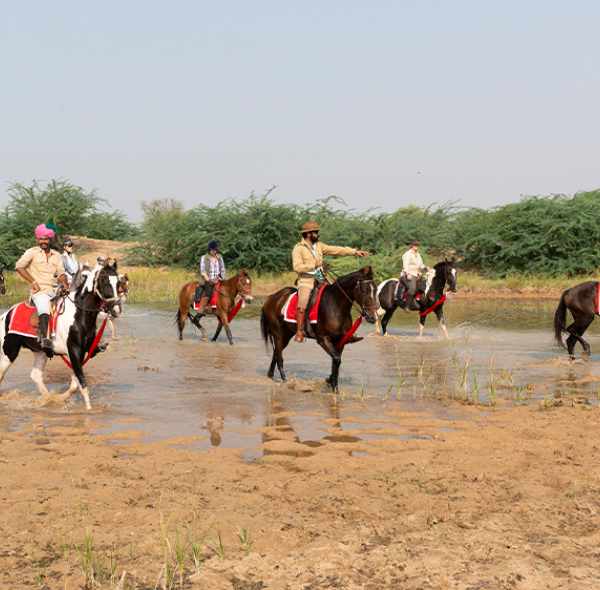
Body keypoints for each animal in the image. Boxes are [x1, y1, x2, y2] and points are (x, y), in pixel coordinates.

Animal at [0, 260, 122, 412]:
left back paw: (49, 399)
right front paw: (89, 410)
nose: (116, 310)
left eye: (118, 283)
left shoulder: (82, 353)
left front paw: (59, 398)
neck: (79, 314)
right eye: (105, 283)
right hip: (9, 352)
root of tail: (5, 315)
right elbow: (82, 385)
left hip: (40, 352)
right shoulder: (74, 351)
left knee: (36, 375)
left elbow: (75, 384)